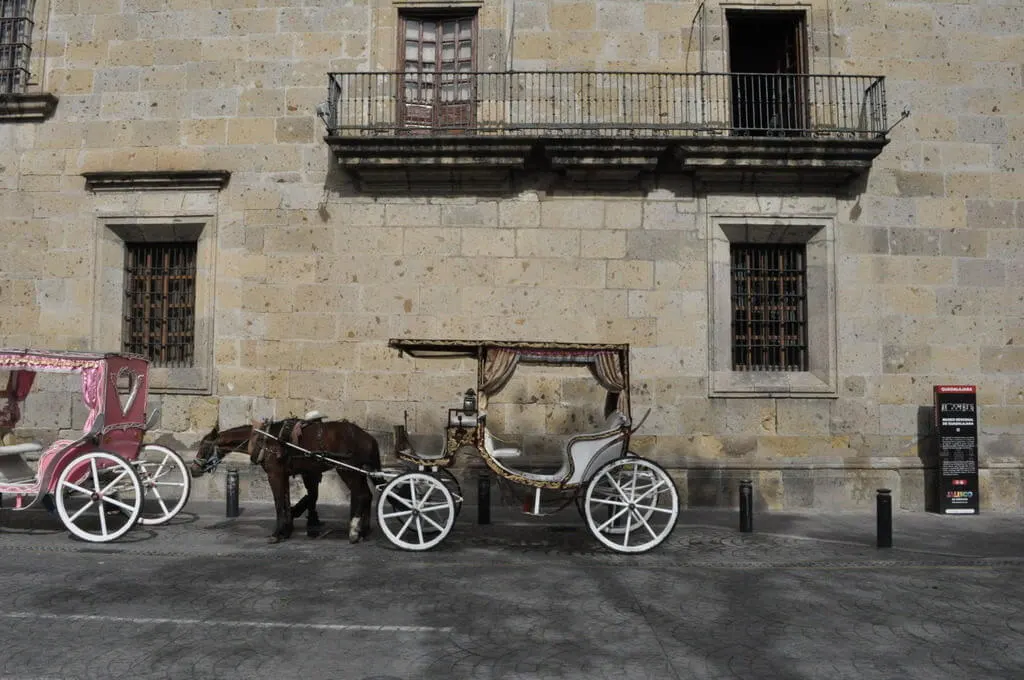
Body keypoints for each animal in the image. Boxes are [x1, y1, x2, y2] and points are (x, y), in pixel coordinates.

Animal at [246, 417, 381, 544]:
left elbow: (279, 503)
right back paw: (363, 531)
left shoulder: (275, 475)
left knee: (361, 495)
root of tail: (369, 438)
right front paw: (286, 532)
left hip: (348, 470)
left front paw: (277, 534)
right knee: (367, 495)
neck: (266, 438)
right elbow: (286, 502)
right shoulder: (284, 475)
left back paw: (354, 532)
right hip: (359, 472)